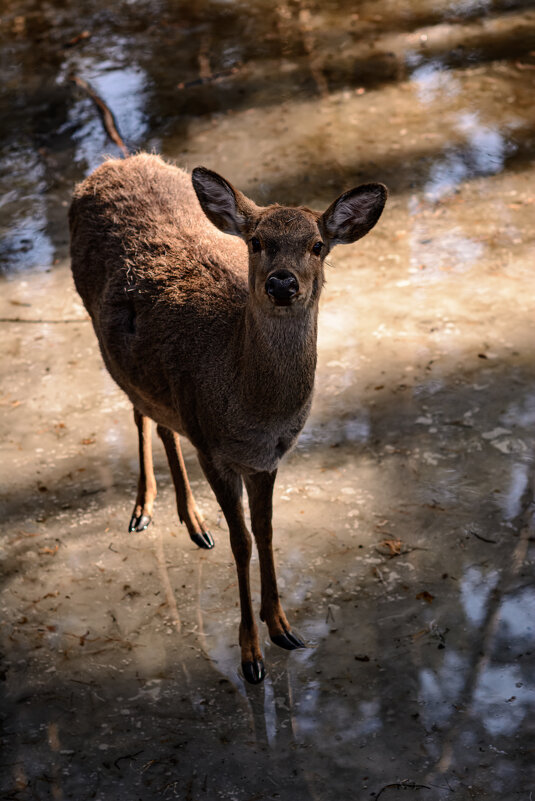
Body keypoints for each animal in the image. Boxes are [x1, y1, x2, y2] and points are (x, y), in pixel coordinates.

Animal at [69, 155, 388, 680]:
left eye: (317, 245)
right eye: (256, 242)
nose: (282, 283)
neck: (251, 412)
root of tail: (113, 162)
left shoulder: (267, 459)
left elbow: (267, 531)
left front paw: (283, 626)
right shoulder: (214, 449)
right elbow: (241, 542)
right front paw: (250, 654)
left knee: (160, 420)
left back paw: (193, 523)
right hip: (107, 347)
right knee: (140, 414)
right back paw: (145, 510)